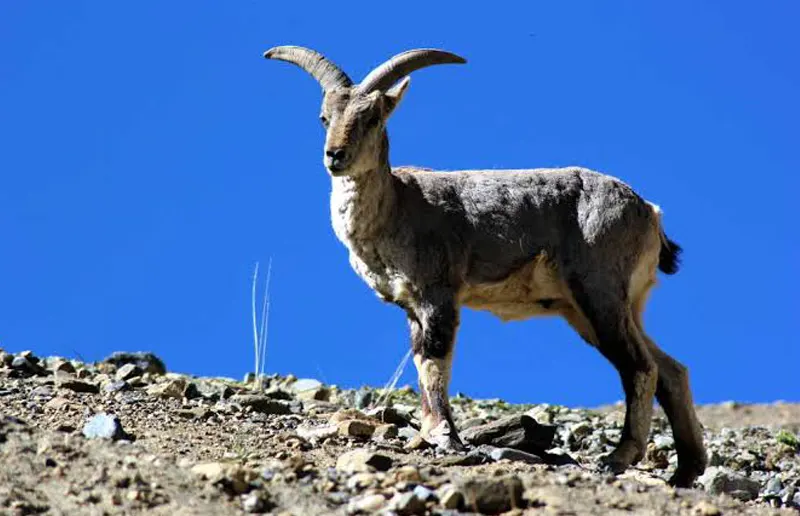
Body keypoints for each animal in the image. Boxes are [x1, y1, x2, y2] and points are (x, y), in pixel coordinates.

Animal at [263, 46, 708, 487]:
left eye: (373, 118)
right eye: (324, 117)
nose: (335, 156)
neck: (397, 207)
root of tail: (648, 212)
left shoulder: (439, 293)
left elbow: (435, 360)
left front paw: (446, 437)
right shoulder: (411, 306)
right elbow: (419, 361)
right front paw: (428, 433)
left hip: (598, 292)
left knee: (640, 366)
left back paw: (619, 457)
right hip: (597, 308)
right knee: (670, 369)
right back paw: (687, 469)